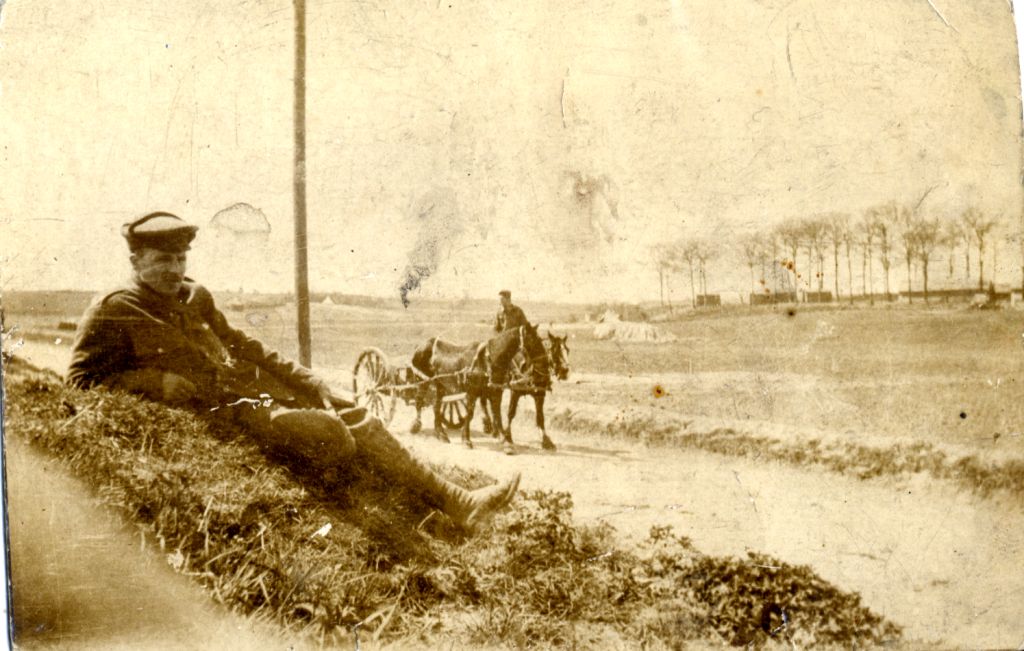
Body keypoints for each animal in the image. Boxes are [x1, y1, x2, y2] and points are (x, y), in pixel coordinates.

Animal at [409, 323, 548, 450]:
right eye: (533, 341)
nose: (545, 363)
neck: (488, 360)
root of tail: (420, 346)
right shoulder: (472, 391)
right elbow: (470, 414)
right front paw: (466, 439)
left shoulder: (495, 392)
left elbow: (497, 415)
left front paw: (505, 441)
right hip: (423, 381)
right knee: (419, 401)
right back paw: (416, 425)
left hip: (440, 385)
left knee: (436, 406)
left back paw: (441, 434)